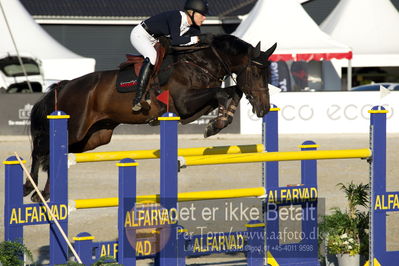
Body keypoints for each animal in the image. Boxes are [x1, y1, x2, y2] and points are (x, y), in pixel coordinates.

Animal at [25, 34, 278, 202]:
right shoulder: (184, 103)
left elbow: (232, 91)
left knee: (57, 153)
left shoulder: (192, 108)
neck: (200, 62)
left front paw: (221, 120)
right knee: (41, 148)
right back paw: (30, 187)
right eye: (256, 72)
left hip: (94, 138)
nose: (264, 108)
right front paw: (215, 125)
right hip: (76, 129)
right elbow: (223, 92)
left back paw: (44, 193)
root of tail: (64, 85)